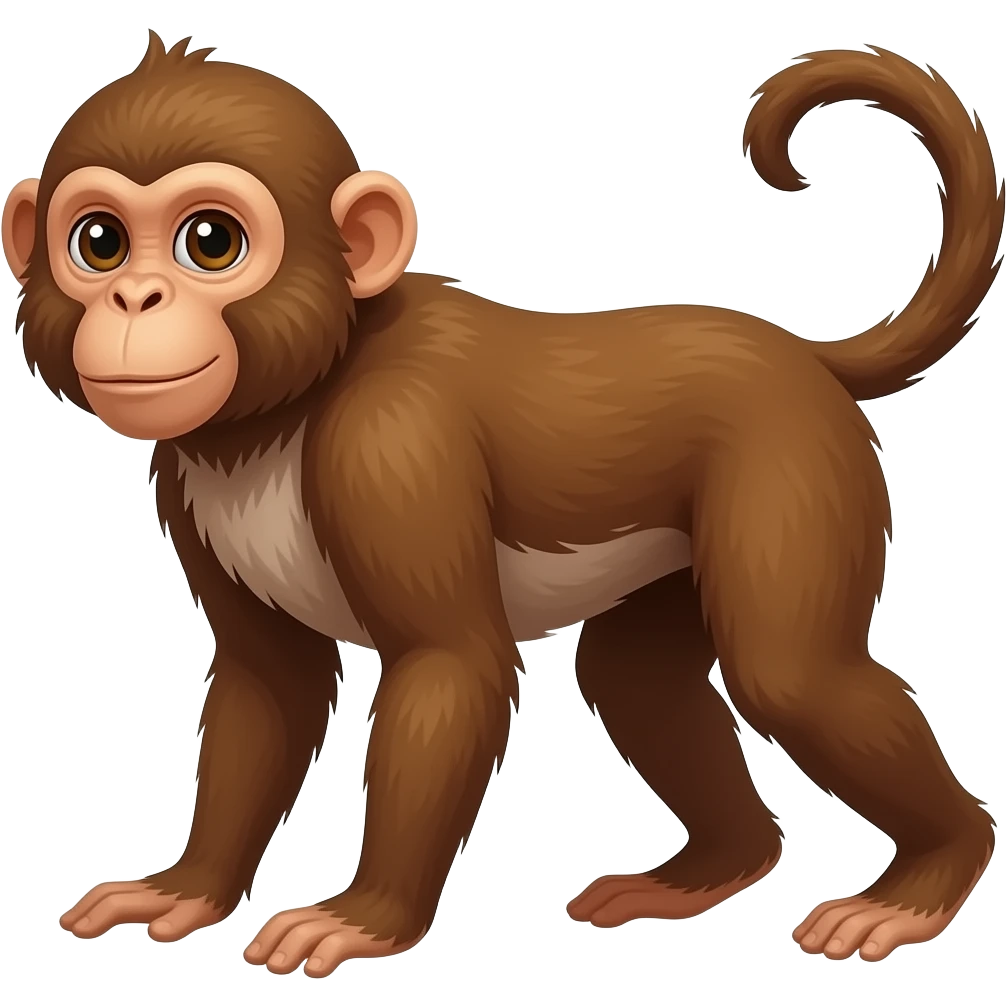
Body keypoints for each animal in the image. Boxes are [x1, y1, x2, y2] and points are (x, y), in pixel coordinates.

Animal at [6, 33, 1000, 977]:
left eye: (210, 241)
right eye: (98, 242)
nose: (136, 296)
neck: (287, 403)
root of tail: (800, 354)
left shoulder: (392, 444)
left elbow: (450, 664)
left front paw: (364, 918)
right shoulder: (183, 479)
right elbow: (268, 680)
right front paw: (188, 887)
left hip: (789, 464)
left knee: (790, 672)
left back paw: (929, 874)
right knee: (635, 682)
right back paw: (714, 867)